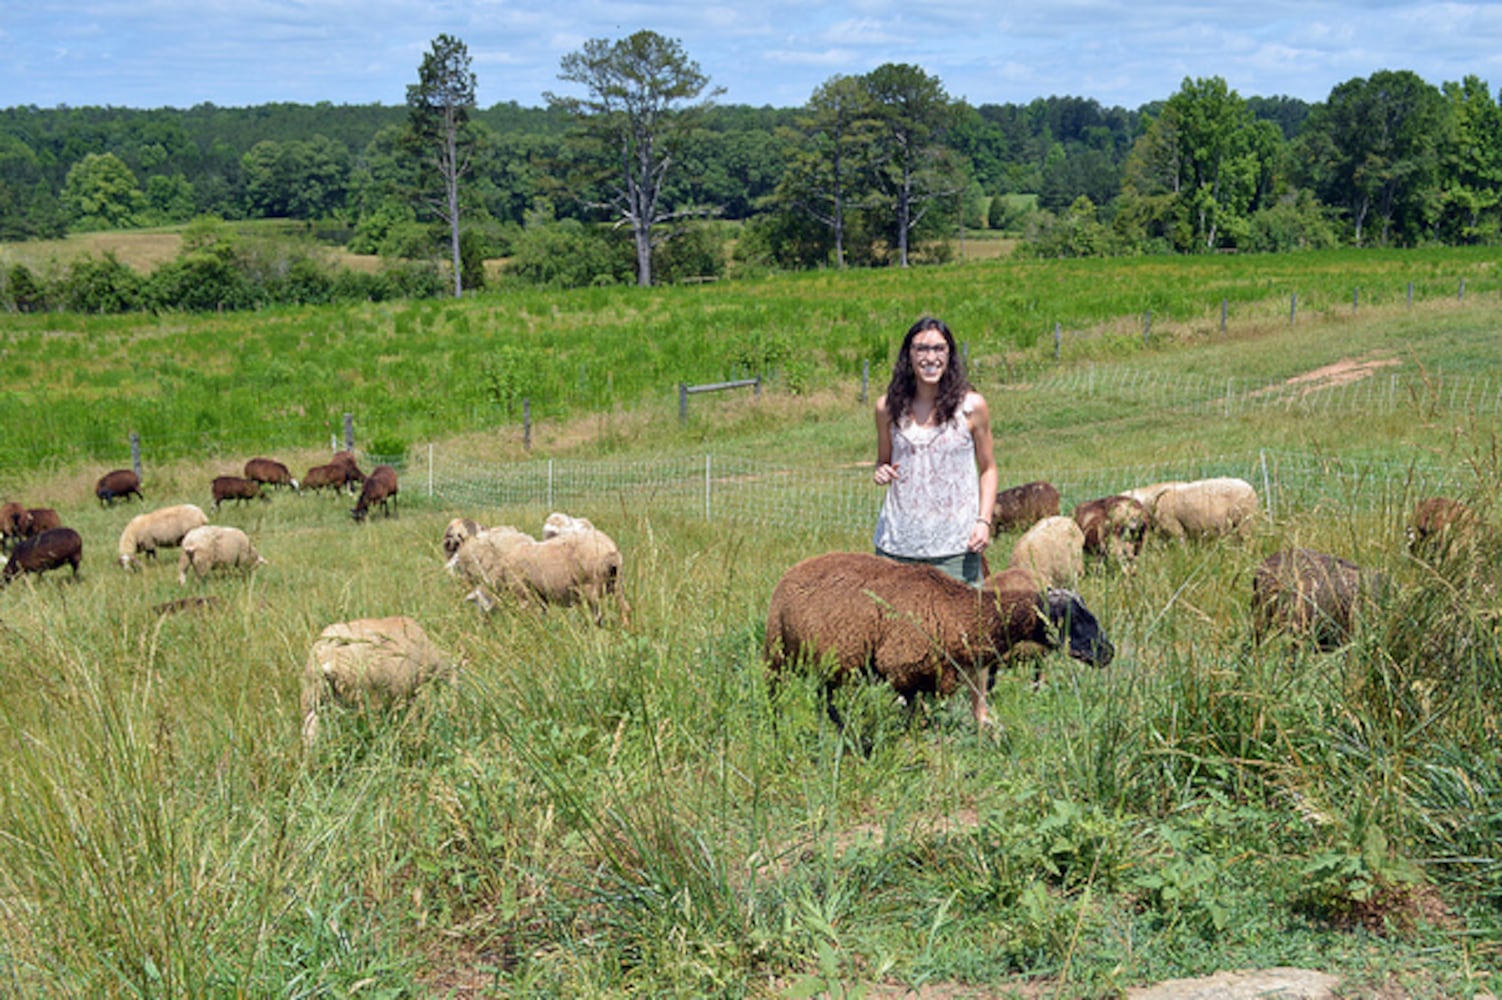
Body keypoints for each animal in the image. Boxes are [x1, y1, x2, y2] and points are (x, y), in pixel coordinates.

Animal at [450, 522, 627, 624]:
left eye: (480, 604)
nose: (485, 624)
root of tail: (609, 548)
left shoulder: (523, 593)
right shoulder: (541, 597)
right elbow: (543, 614)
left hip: (590, 588)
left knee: (597, 617)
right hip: (617, 584)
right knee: (625, 609)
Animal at [763, 552, 1117, 723]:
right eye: (1070, 619)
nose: (1108, 652)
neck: (955, 609)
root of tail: (790, 573)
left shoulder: (934, 675)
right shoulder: (902, 671)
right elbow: (910, 716)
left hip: (830, 664)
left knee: (826, 699)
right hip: (776, 654)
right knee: (775, 695)